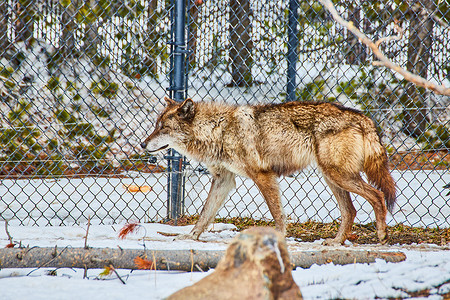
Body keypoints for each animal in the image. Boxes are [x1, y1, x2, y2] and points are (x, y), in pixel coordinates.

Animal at [140, 97, 394, 245]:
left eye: (163, 127)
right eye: (156, 126)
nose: (142, 144)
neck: (219, 130)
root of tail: (363, 117)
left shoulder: (264, 176)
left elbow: (277, 215)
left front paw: (279, 239)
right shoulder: (224, 180)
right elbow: (204, 215)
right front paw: (190, 236)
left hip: (338, 176)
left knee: (377, 195)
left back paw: (381, 235)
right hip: (332, 178)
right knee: (350, 210)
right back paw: (336, 242)